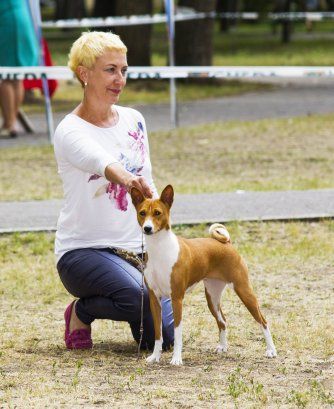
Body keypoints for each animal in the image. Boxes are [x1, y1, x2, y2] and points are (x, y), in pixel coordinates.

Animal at [130, 184, 276, 364]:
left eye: (157, 213)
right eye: (142, 213)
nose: (147, 228)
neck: (160, 250)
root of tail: (227, 243)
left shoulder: (177, 298)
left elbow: (178, 333)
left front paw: (176, 359)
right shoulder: (154, 299)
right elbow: (158, 333)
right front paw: (155, 356)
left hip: (244, 290)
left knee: (263, 320)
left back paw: (271, 350)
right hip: (212, 297)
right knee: (223, 321)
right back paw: (223, 347)